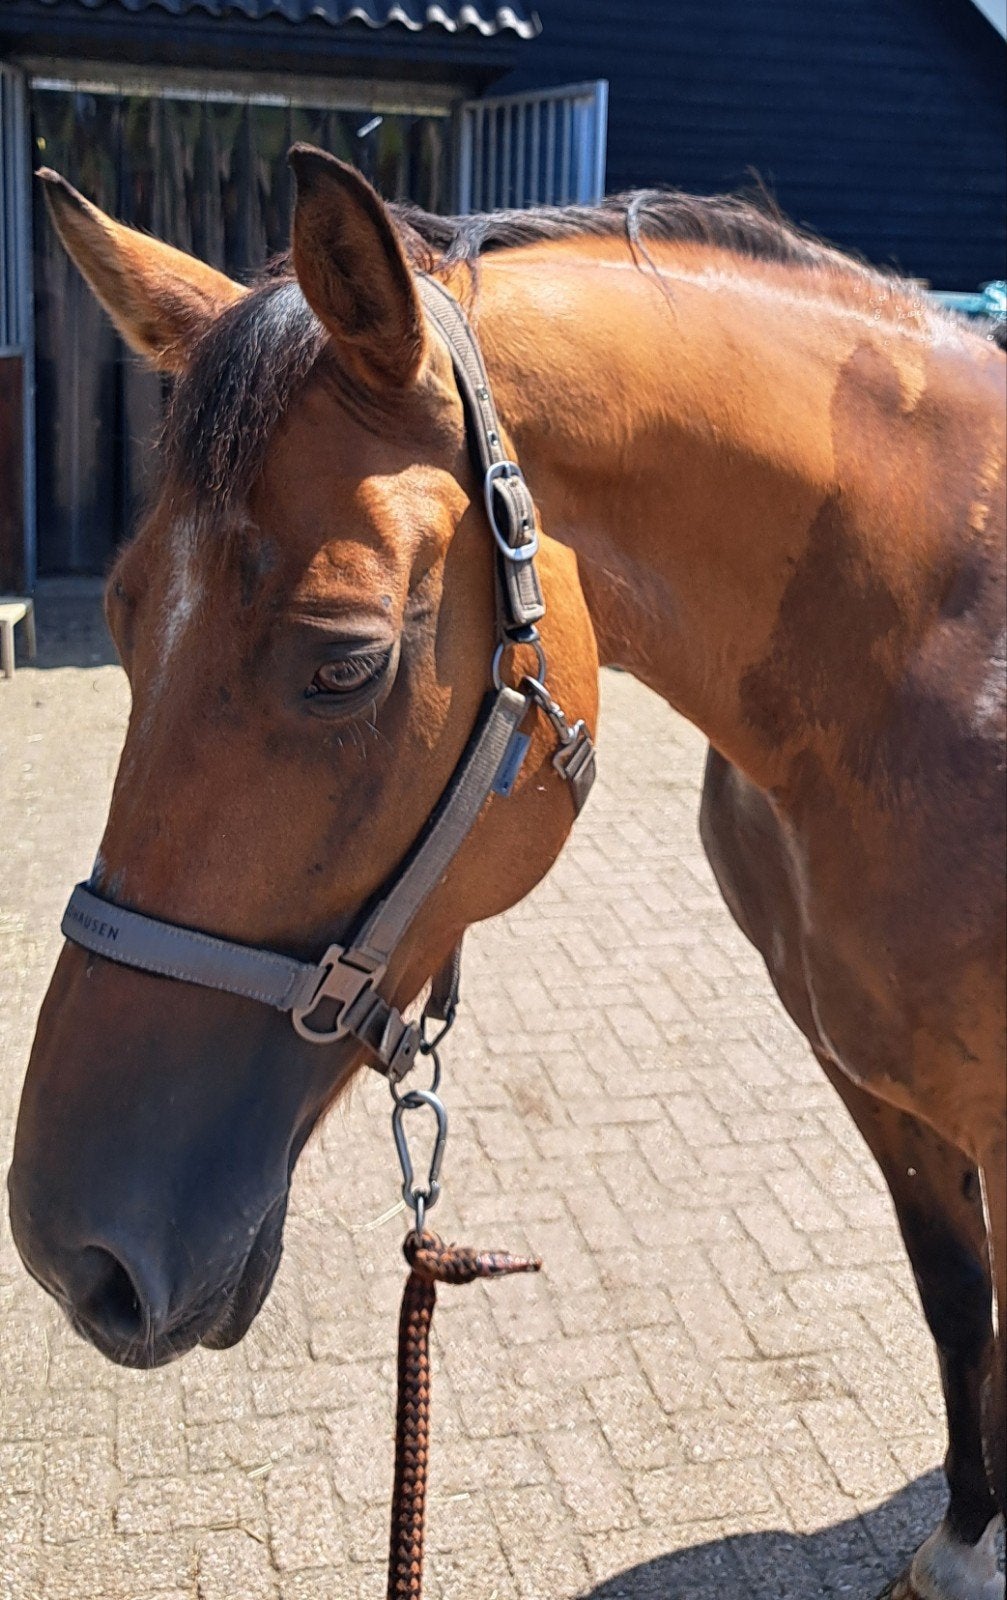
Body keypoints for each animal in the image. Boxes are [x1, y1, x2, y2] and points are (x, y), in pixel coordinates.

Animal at [7, 149, 1004, 1600]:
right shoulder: (874, 1081)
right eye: (125, 617)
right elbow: (953, 1301)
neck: (938, 660)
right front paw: (967, 1535)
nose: (69, 1250)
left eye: (344, 661)